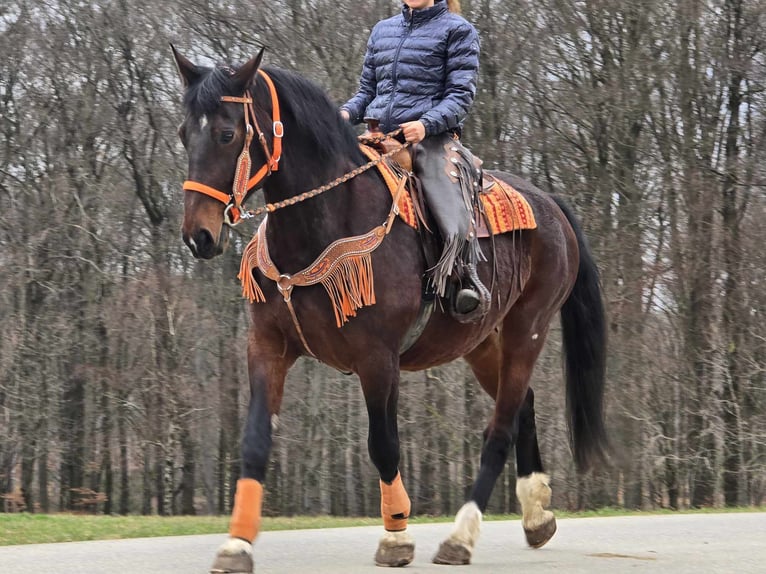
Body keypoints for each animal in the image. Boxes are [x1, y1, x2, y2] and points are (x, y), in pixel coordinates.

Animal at [171, 46, 608, 574]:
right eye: (184, 133)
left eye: (227, 133)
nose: (198, 235)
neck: (325, 220)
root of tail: (553, 207)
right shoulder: (268, 347)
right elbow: (255, 440)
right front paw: (236, 544)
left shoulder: (377, 359)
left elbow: (383, 444)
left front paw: (397, 534)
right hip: (483, 343)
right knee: (522, 406)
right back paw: (537, 517)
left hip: (529, 329)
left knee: (501, 427)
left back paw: (461, 536)